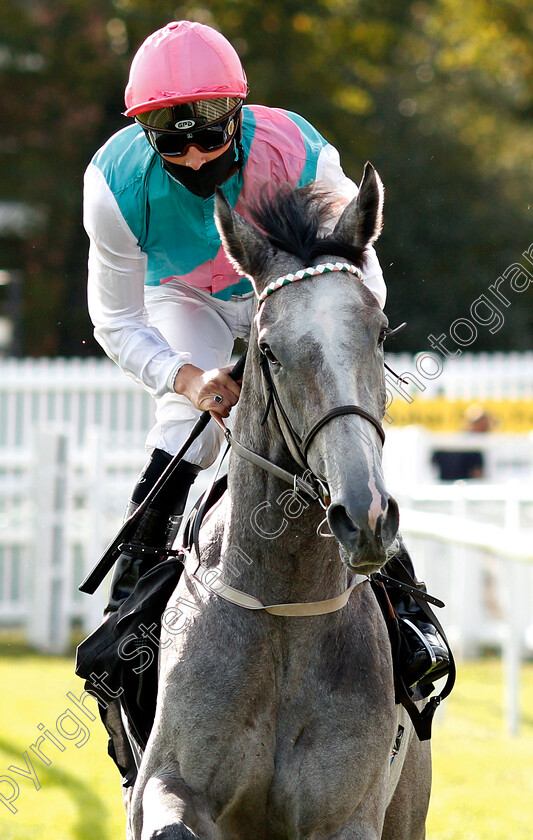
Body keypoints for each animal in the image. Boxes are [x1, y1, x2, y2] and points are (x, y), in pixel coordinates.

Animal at [127, 166, 430, 840]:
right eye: (267, 350)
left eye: (379, 332)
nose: (364, 515)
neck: (284, 608)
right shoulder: (166, 783)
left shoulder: (347, 813)